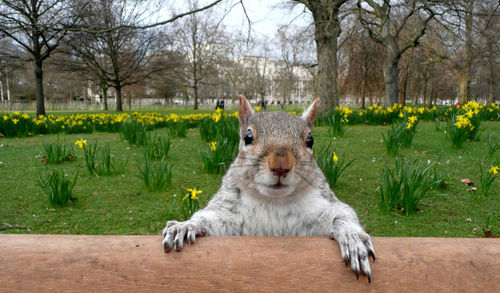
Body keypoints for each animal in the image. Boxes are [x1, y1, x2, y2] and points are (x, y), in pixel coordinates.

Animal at [163, 94, 376, 280]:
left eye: (310, 140)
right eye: (248, 137)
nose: (281, 165)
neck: (274, 201)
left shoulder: (322, 207)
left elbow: (342, 214)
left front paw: (352, 238)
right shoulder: (230, 216)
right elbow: (210, 219)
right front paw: (185, 226)